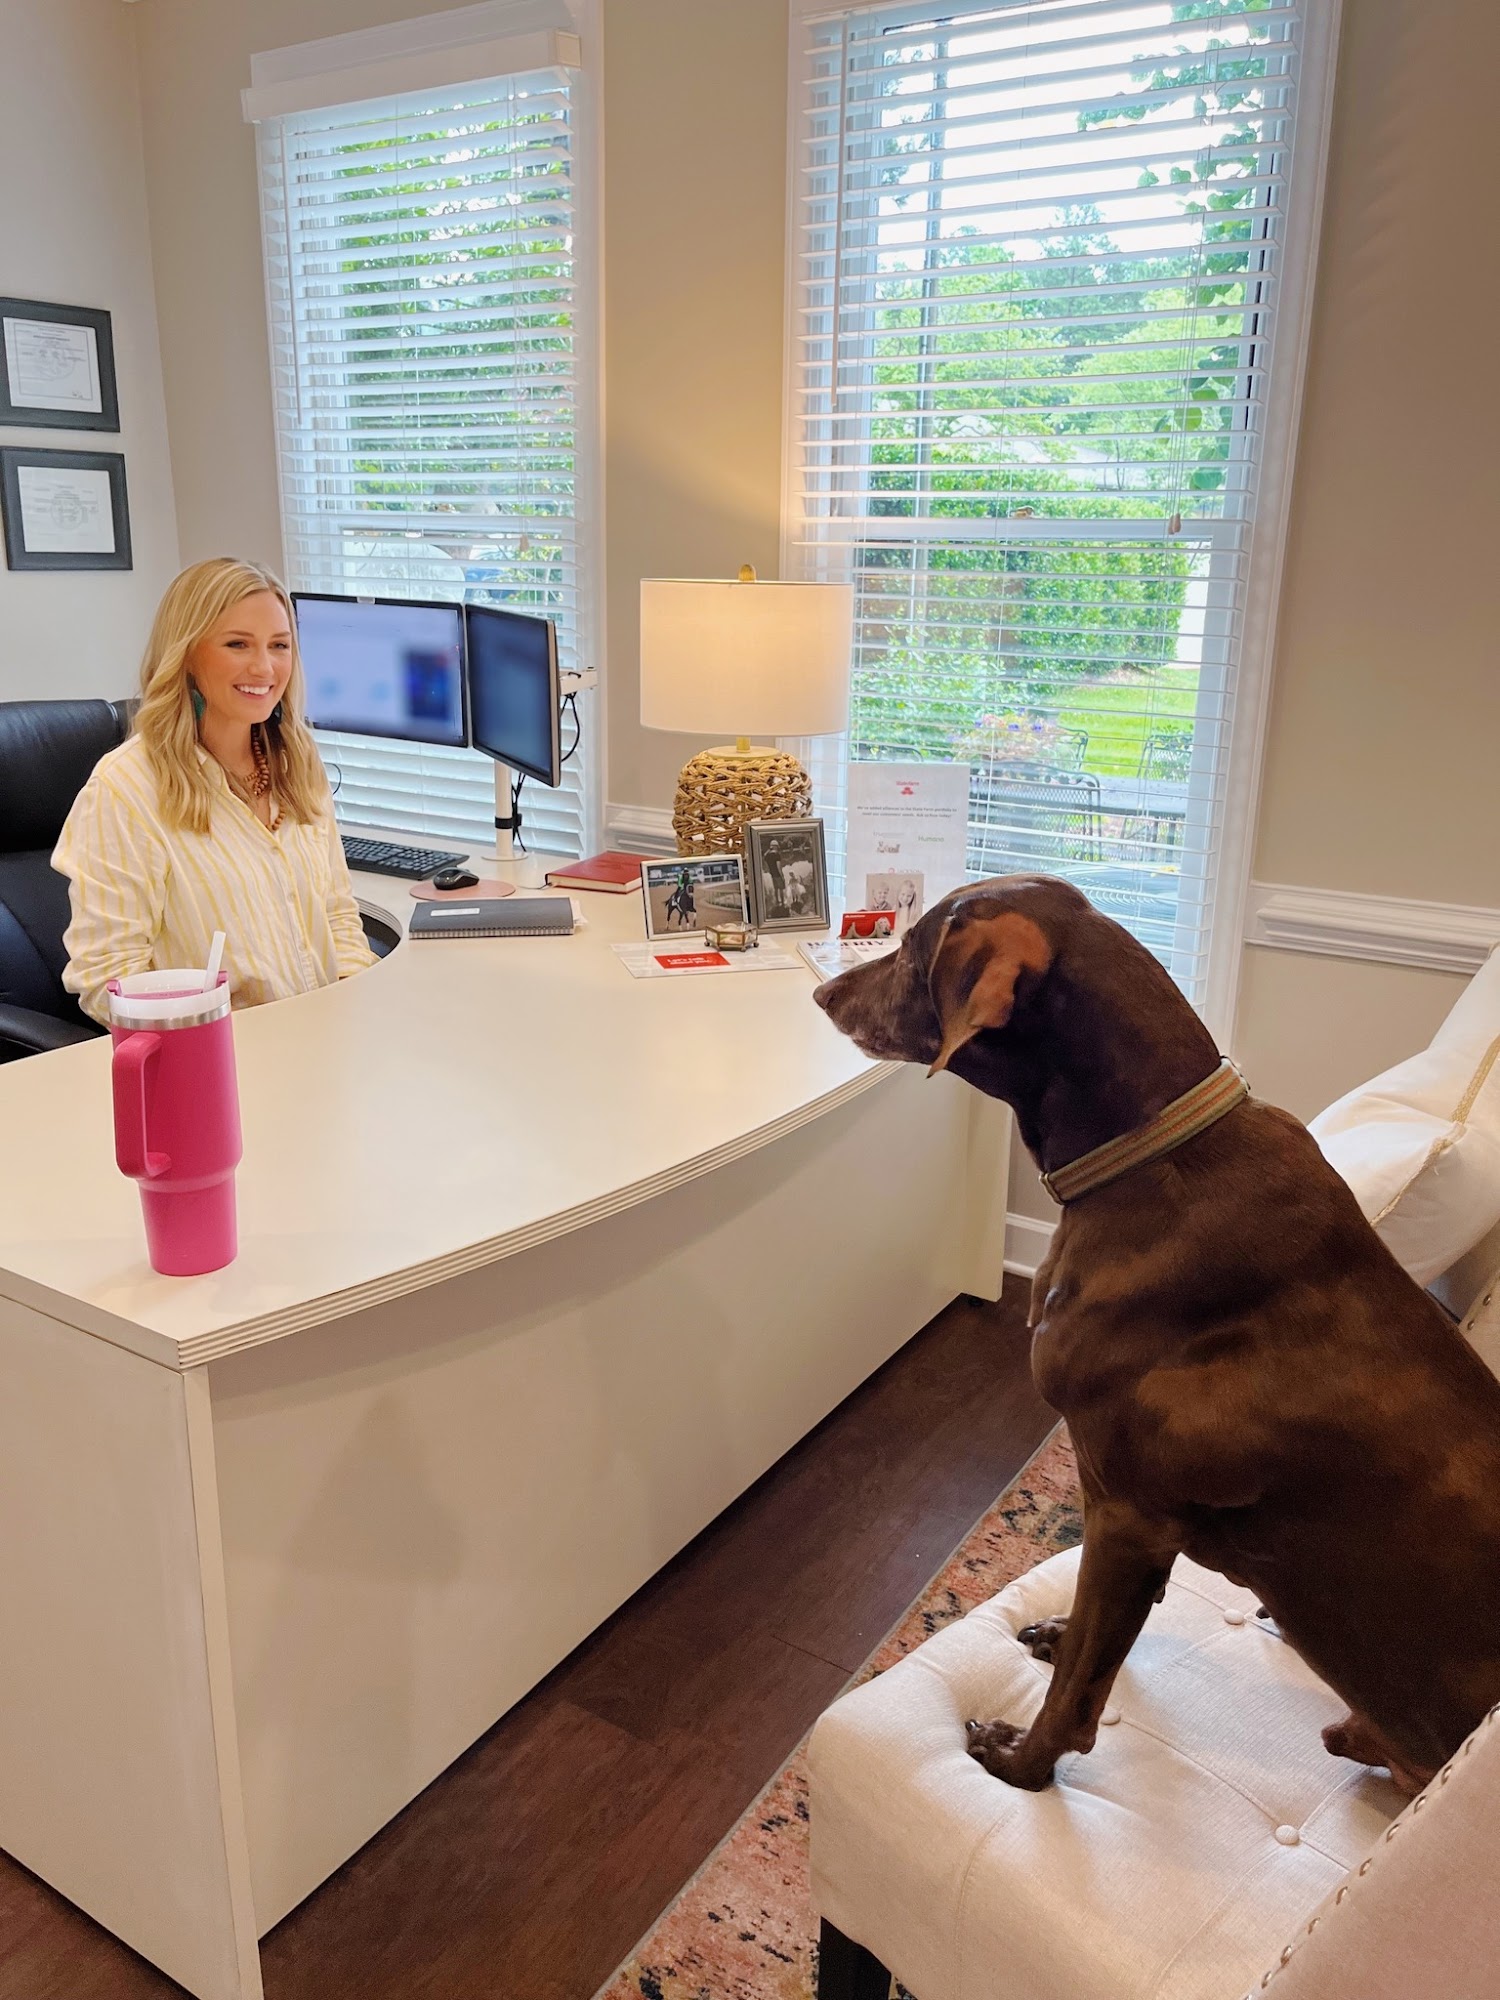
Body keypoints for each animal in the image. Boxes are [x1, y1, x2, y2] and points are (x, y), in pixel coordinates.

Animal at [814, 873, 1500, 1794]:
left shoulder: (1125, 1508)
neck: (1148, 1156)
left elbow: (1079, 1687)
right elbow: (1101, 1635)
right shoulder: (1131, 1521)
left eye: (912, 948)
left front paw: (1023, 1764)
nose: (822, 994)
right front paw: (1060, 1632)